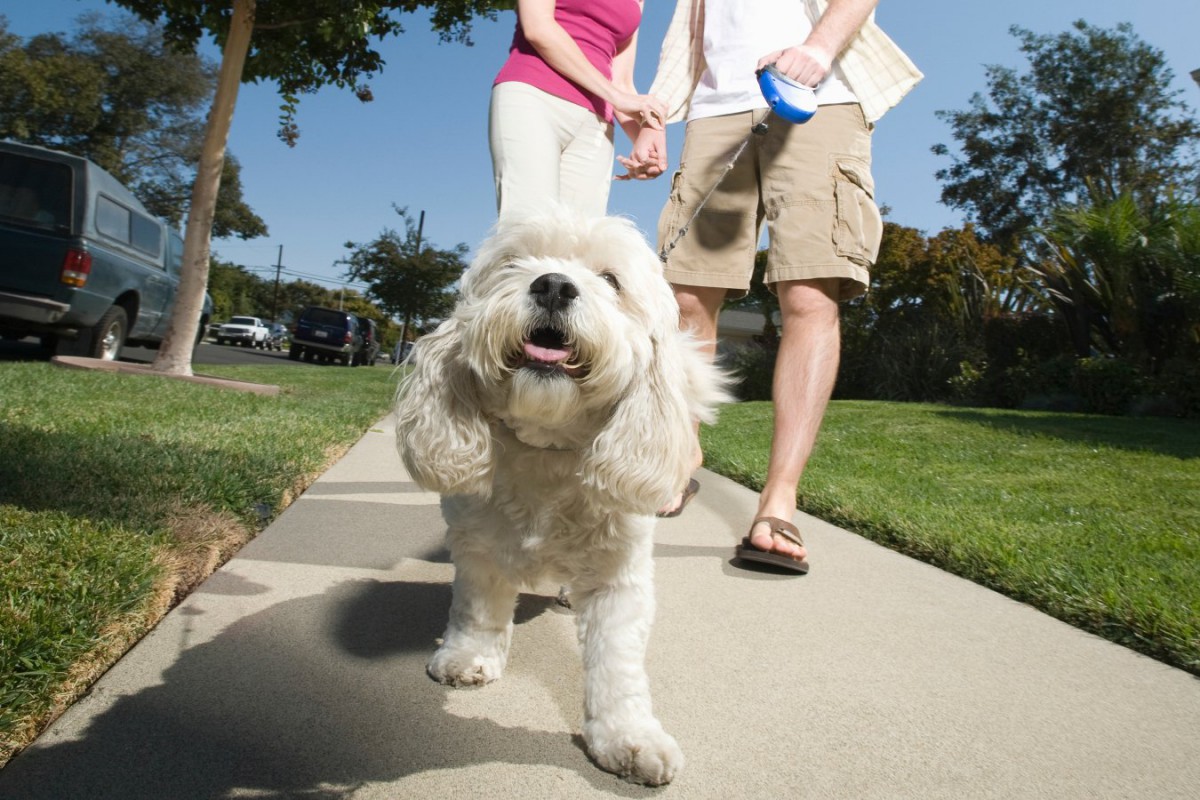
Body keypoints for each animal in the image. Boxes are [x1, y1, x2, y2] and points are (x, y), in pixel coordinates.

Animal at [398, 209, 724, 786]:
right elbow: (476, 608)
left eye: (611, 280)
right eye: (514, 264)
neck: (547, 448)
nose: (552, 285)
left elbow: (617, 661)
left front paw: (628, 735)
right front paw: (468, 656)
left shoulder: (620, 576)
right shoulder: (478, 546)